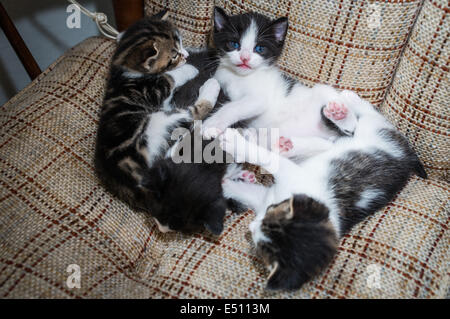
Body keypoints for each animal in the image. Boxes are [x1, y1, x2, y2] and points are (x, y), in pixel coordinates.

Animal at [220, 89, 428, 292]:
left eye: (260, 243)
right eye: (272, 211)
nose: (251, 226)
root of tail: (409, 156)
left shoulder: (281, 182)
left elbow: (266, 160)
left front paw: (233, 151)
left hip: (378, 135)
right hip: (368, 133)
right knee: (361, 124)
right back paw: (342, 107)